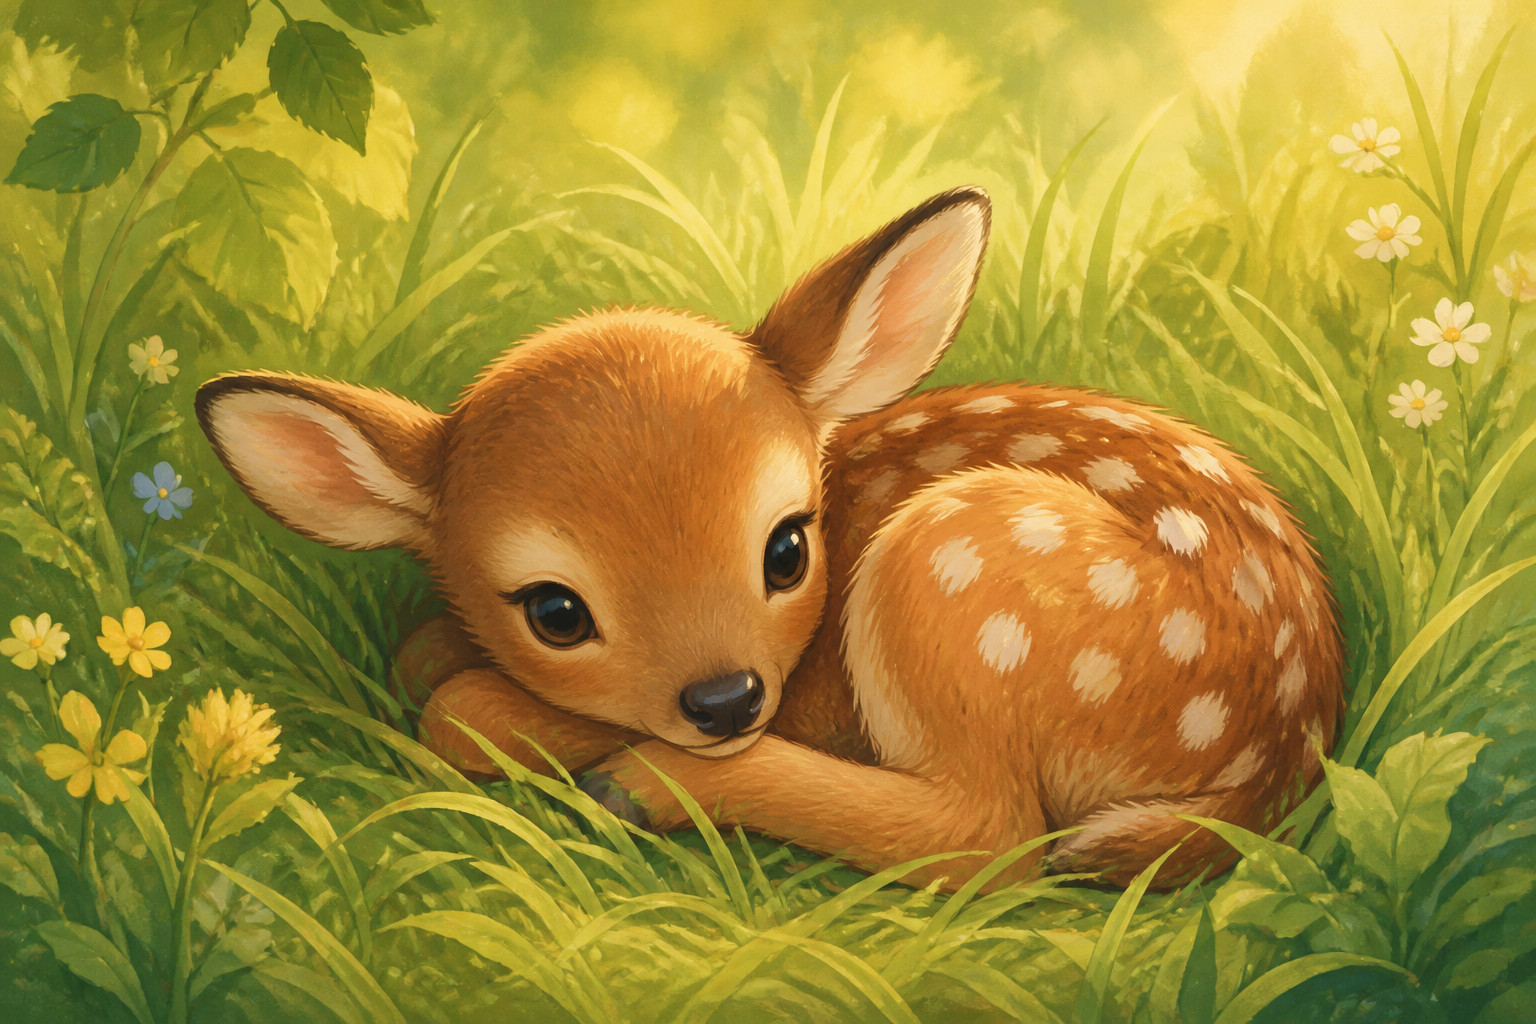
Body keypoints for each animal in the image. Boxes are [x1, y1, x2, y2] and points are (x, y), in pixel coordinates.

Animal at [196, 187, 1344, 891]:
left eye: (787, 548)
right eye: (555, 611)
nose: (724, 700)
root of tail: (1285, 741)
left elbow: (462, 717)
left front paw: (529, 725)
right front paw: (441, 657)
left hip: (961, 569)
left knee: (987, 839)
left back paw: (648, 785)